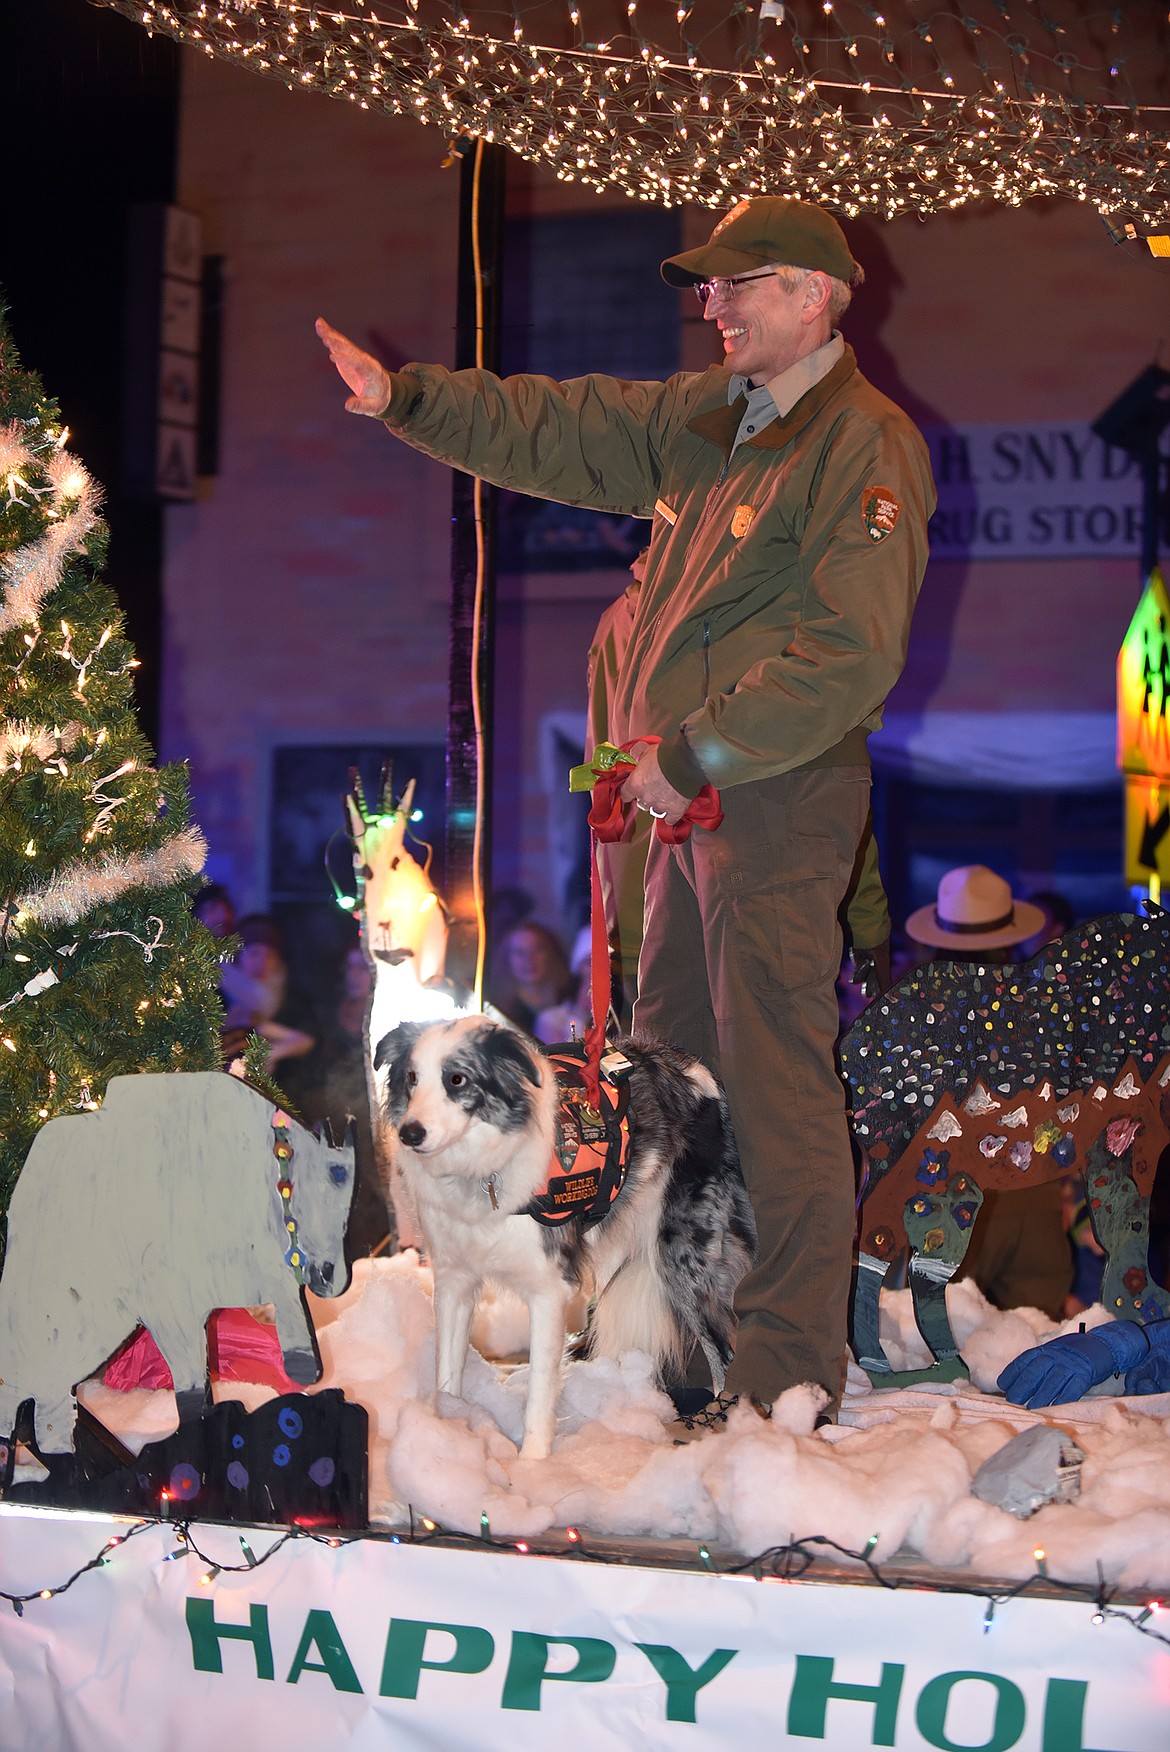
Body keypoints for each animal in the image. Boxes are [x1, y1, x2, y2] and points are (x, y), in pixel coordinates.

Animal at [376, 1009, 760, 1457]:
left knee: (724, 1354)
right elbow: (446, 1376)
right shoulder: (454, 1280)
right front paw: (446, 1431)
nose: (410, 1133)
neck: (483, 1173)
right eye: (411, 1078)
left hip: (682, 1259)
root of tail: (696, 1071)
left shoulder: (549, 1286)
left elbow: (540, 1393)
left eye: (457, 1079)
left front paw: (531, 1464)